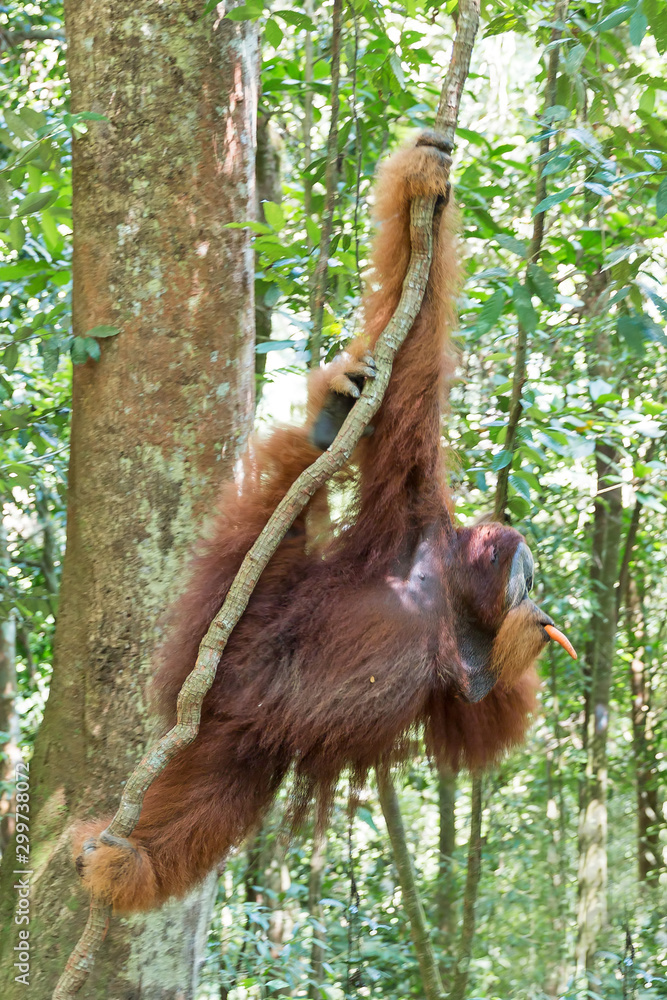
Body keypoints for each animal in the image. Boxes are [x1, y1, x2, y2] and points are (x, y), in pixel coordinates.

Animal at [73, 134, 575, 913]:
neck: (446, 590)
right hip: (229, 621)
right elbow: (414, 360)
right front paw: (422, 184)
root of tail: (220, 707)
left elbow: (479, 718)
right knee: (268, 535)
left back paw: (133, 864)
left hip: (248, 746)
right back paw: (327, 424)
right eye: (524, 570)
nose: (535, 589)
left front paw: (524, 641)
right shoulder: (412, 506)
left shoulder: (465, 657)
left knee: (215, 798)